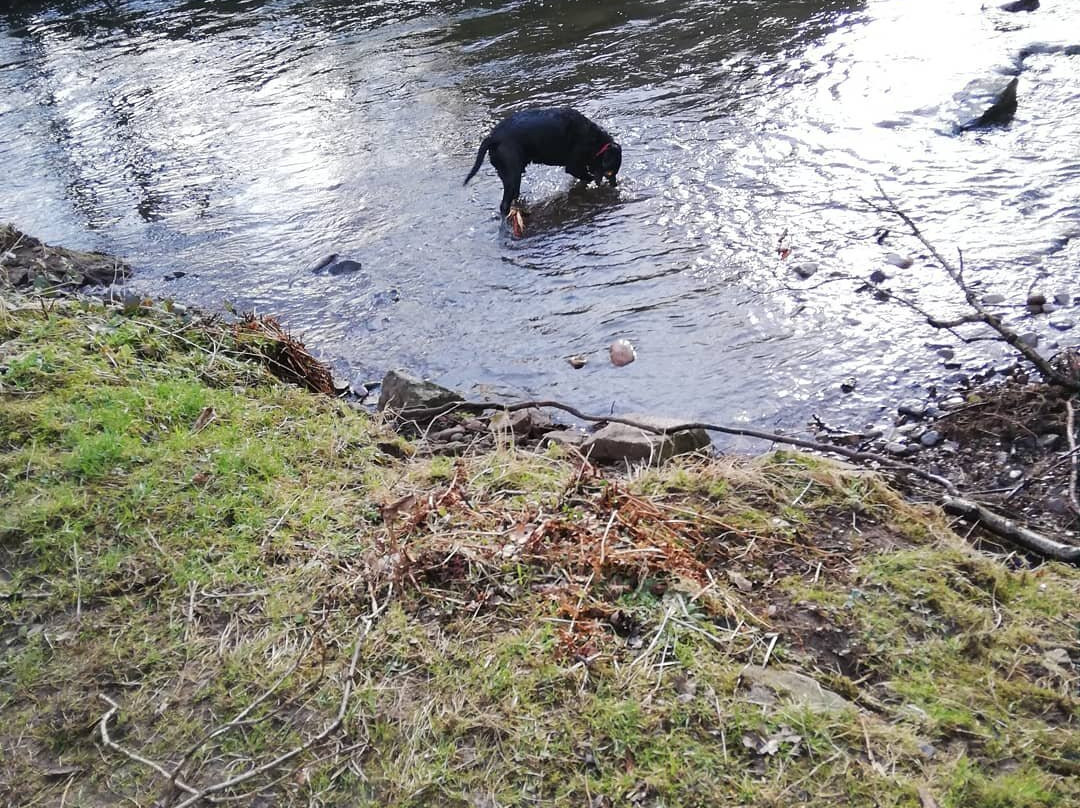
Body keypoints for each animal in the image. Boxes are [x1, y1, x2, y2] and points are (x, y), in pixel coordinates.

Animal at [464, 110, 626, 218]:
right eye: (609, 173)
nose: (615, 186)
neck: (594, 141)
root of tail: (493, 137)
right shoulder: (573, 166)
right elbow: (589, 177)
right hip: (513, 174)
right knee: (504, 205)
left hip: (511, 175)